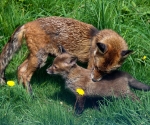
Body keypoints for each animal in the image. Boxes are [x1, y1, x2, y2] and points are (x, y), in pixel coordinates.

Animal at [0, 16, 132, 93]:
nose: (94, 79)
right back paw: (30, 95)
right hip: (40, 59)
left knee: (20, 69)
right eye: (97, 67)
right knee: (25, 74)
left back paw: (21, 90)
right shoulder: (90, 65)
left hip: (37, 57)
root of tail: (27, 23)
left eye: (106, 72)